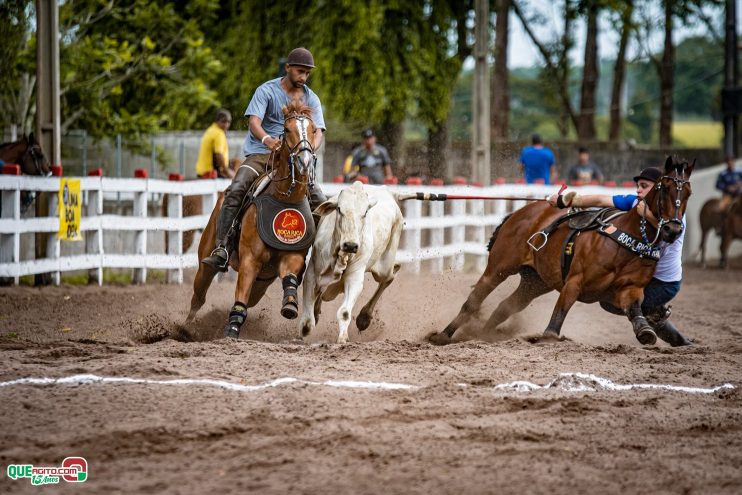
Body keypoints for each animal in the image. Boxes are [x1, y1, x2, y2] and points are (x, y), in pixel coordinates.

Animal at [187, 102, 318, 340]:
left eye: (313, 129)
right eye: (287, 129)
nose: (304, 161)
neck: (284, 199)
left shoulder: (293, 257)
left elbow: (289, 279)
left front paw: (290, 304)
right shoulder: (250, 260)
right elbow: (240, 299)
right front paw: (231, 330)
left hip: (262, 282)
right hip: (206, 263)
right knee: (198, 297)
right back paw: (187, 328)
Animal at [300, 182, 406, 344]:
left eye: (365, 212)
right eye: (339, 209)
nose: (350, 245)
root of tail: (387, 190)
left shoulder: (354, 278)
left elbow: (344, 312)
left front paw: (343, 338)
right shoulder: (312, 273)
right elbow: (307, 318)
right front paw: (304, 331)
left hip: (384, 267)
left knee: (391, 275)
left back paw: (364, 318)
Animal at [430, 157, 696, 346]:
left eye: (688, 192)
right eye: (664, 188)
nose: (673, 229)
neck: (626, 240)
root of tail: (520, 213)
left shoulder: (630, 289)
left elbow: (634, 308)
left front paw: (645, 330)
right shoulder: (575, 281)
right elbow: (560, 311)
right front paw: (548, 336)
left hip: (535, 281)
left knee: (505, 307)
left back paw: (483, 336)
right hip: (500, 267)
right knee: (474, 301)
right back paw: (442, 336)